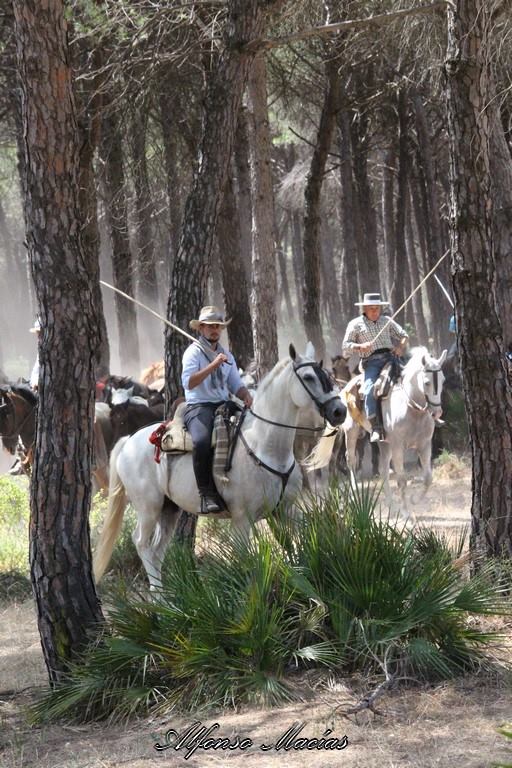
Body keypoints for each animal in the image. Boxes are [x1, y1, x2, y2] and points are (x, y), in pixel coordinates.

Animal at [93, 343, 346, 588]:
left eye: (327, 374)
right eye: (308, 377)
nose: (339, 411)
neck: (264, 445)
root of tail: (127, 442)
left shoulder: (286, 510)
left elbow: (300, 544)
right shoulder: (242, 520)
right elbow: (249, 563)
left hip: (169, 509)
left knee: (157, 551)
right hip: (148, 508)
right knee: (142, 544)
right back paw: (159, 598)